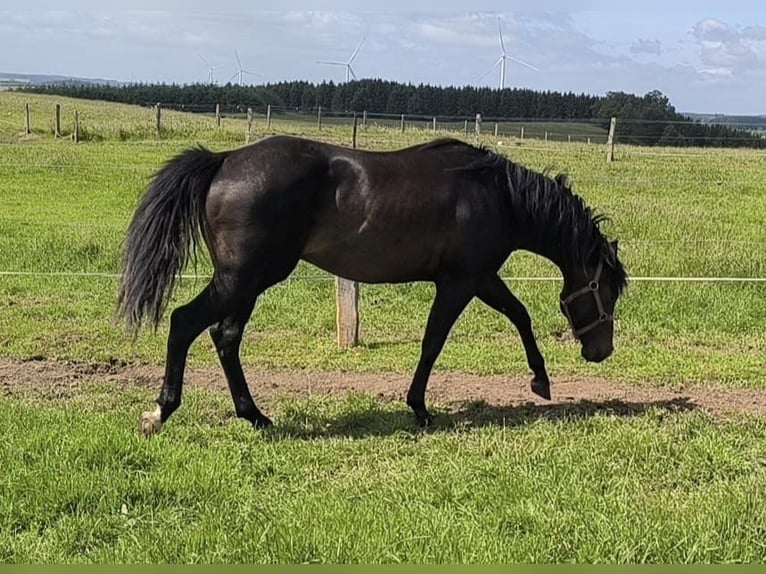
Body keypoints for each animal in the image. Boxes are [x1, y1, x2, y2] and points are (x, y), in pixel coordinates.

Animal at [117, 135, 628, 435]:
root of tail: (222, 161)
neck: (497, 194)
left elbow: (518, 315)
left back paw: (256, 416)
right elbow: (433, 343)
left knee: (225, 336)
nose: (601, 350)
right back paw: (160, 412)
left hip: (247, 282)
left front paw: (541, 380)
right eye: (607, 290)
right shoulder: (460, 282)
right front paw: (420, 409)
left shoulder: (481, 277)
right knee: (186, 323)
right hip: (243, 279)